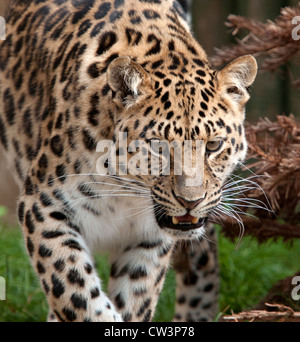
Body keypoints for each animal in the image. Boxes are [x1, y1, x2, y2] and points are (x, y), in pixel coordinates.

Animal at [0, 0, 258, 322]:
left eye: (213, 145)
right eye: (158, 146)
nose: (191, 201)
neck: (124, 189)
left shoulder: (149, 238)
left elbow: (135, 299)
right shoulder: (42, 207)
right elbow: (76, 292)